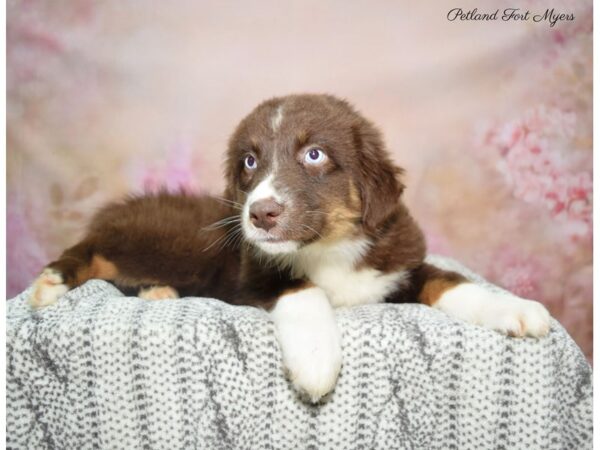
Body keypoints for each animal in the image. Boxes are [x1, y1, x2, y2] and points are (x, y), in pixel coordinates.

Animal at [30, 93, 552, 402]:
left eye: (314, 154)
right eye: (249, 161)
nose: (260, 214)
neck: (330, 247)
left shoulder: (398, 265)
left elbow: (450, 280)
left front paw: (515, 309)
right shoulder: (248, 274)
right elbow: (303, 290)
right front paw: (318, 361)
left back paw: (158, 292)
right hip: (177, 241)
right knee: (95, 249)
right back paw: (50, 283)